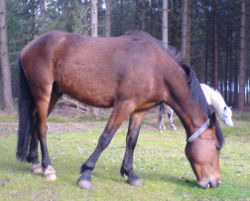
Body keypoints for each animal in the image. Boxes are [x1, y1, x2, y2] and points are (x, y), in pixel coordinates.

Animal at [16, 29, 224, 188]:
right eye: (216, 147)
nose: (215, 182)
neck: (156, 68)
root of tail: (28, 47)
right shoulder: (123, 105)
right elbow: (105, 138)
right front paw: (86, 174)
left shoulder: (139, 110)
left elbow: (131, 140)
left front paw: (130, 173)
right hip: (42, 91)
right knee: (42, 127)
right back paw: (48, 168)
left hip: (54, 93)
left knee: (35, 123)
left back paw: (36, 164)